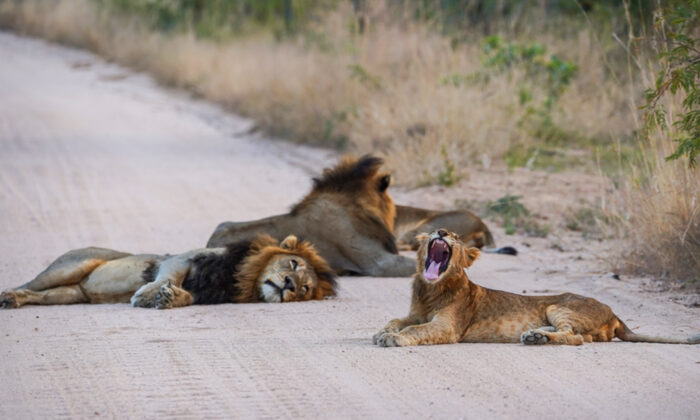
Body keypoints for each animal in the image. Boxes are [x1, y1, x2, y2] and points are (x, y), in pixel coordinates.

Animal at [373, 229, 700, 346]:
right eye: (433, 232)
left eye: (454, 236)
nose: (440, 231)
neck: (430, 290)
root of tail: (615, 314)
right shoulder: (415, 312)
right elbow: (398, 319)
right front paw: (383, 332)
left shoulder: (448, 327)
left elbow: (418, 330)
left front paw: (394, 338)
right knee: (578, 337)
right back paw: (535, 335)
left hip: (558, 305)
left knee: (574, 337)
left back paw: (536, 337)